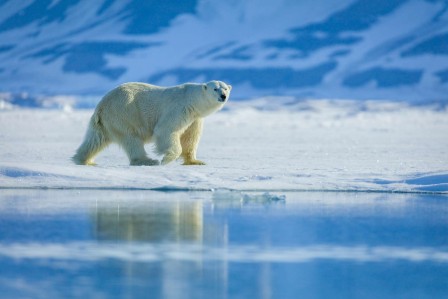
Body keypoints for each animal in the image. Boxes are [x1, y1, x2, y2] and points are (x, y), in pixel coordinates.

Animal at [72, 80, 233, 166]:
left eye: (225, 88)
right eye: (215, 88)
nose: (223, 96)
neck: (192, 100)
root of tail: (101, 105)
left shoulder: (195, 118)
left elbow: (190, 138)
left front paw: (196, 161)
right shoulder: (179, 108)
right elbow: (166, 129)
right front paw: (166, 159)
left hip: (106, 122)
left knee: (95, 140)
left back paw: (83, 160)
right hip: (124, 113)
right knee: (132, 139)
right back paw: (147, 160)